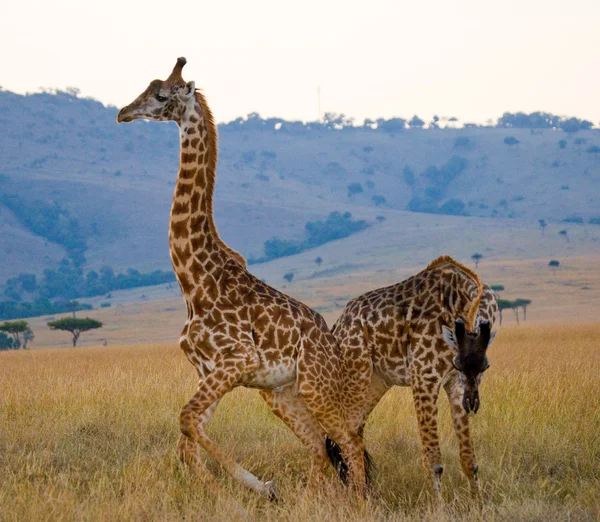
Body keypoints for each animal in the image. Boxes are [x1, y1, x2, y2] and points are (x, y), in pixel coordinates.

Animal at [114, 57, 364, 496]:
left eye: (160, 95)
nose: (123, 112)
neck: (194, 280)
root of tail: (332, 344)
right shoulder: (209, 370)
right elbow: (187, 439)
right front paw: (222, 491)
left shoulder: (236, 360)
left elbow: (186, 423)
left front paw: (257, 485)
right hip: (280, 393)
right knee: (319, 445)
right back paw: (310, 498)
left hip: (315, 385)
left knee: (349, 444)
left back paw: (360, 500)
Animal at [330, 255, 500, 500]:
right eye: (457, 364)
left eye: (486, 366)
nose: (472, 403)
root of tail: (338, 326)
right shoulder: (424, 377)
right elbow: (434, 462)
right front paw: (439, 506)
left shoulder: (454, 385)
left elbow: (469, 459)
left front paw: (477, 502)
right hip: (355, 374)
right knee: (347, 435)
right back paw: (361, 497)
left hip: (377, 381)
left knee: (353, 432)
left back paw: (364, 492)